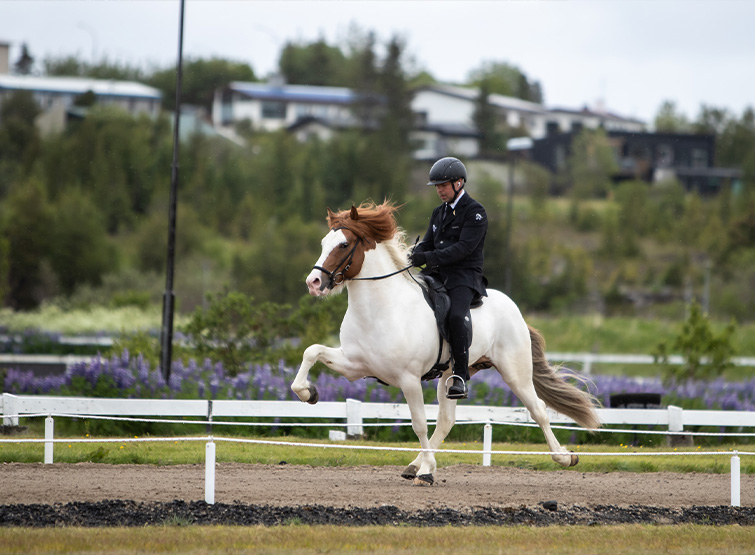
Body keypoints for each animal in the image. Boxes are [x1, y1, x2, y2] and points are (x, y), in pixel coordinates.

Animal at [292, 201, 600, 486]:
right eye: (324, 243)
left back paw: (564, 457)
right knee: (446, 421)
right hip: (452, 375)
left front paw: (428, 473)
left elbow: (418, 424)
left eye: (343, 244)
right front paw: (309, 393)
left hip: (516, 373)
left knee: (538, 409)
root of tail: (515, 310)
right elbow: (312, 352)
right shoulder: (354, 366)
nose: (313, 282)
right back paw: (416, 465)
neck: (381, 309)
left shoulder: (409, 379)